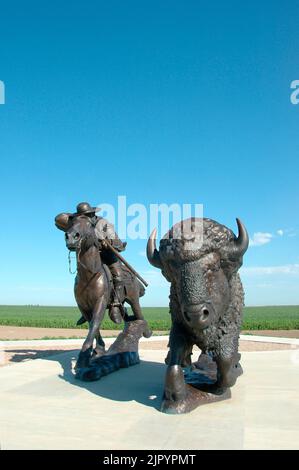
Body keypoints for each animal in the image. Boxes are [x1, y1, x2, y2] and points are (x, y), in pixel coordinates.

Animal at [64, 215, 151, 372]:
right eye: (71, 223)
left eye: (89, 225)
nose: (71, 237)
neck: (89, 276)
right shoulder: (83, 306)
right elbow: (93, 326)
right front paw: (98, 350)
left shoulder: (101, 302)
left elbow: (94, 324)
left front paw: (83, 357)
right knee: (127, 316)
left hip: (134, 299)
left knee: (140, 316)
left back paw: (146, 332)